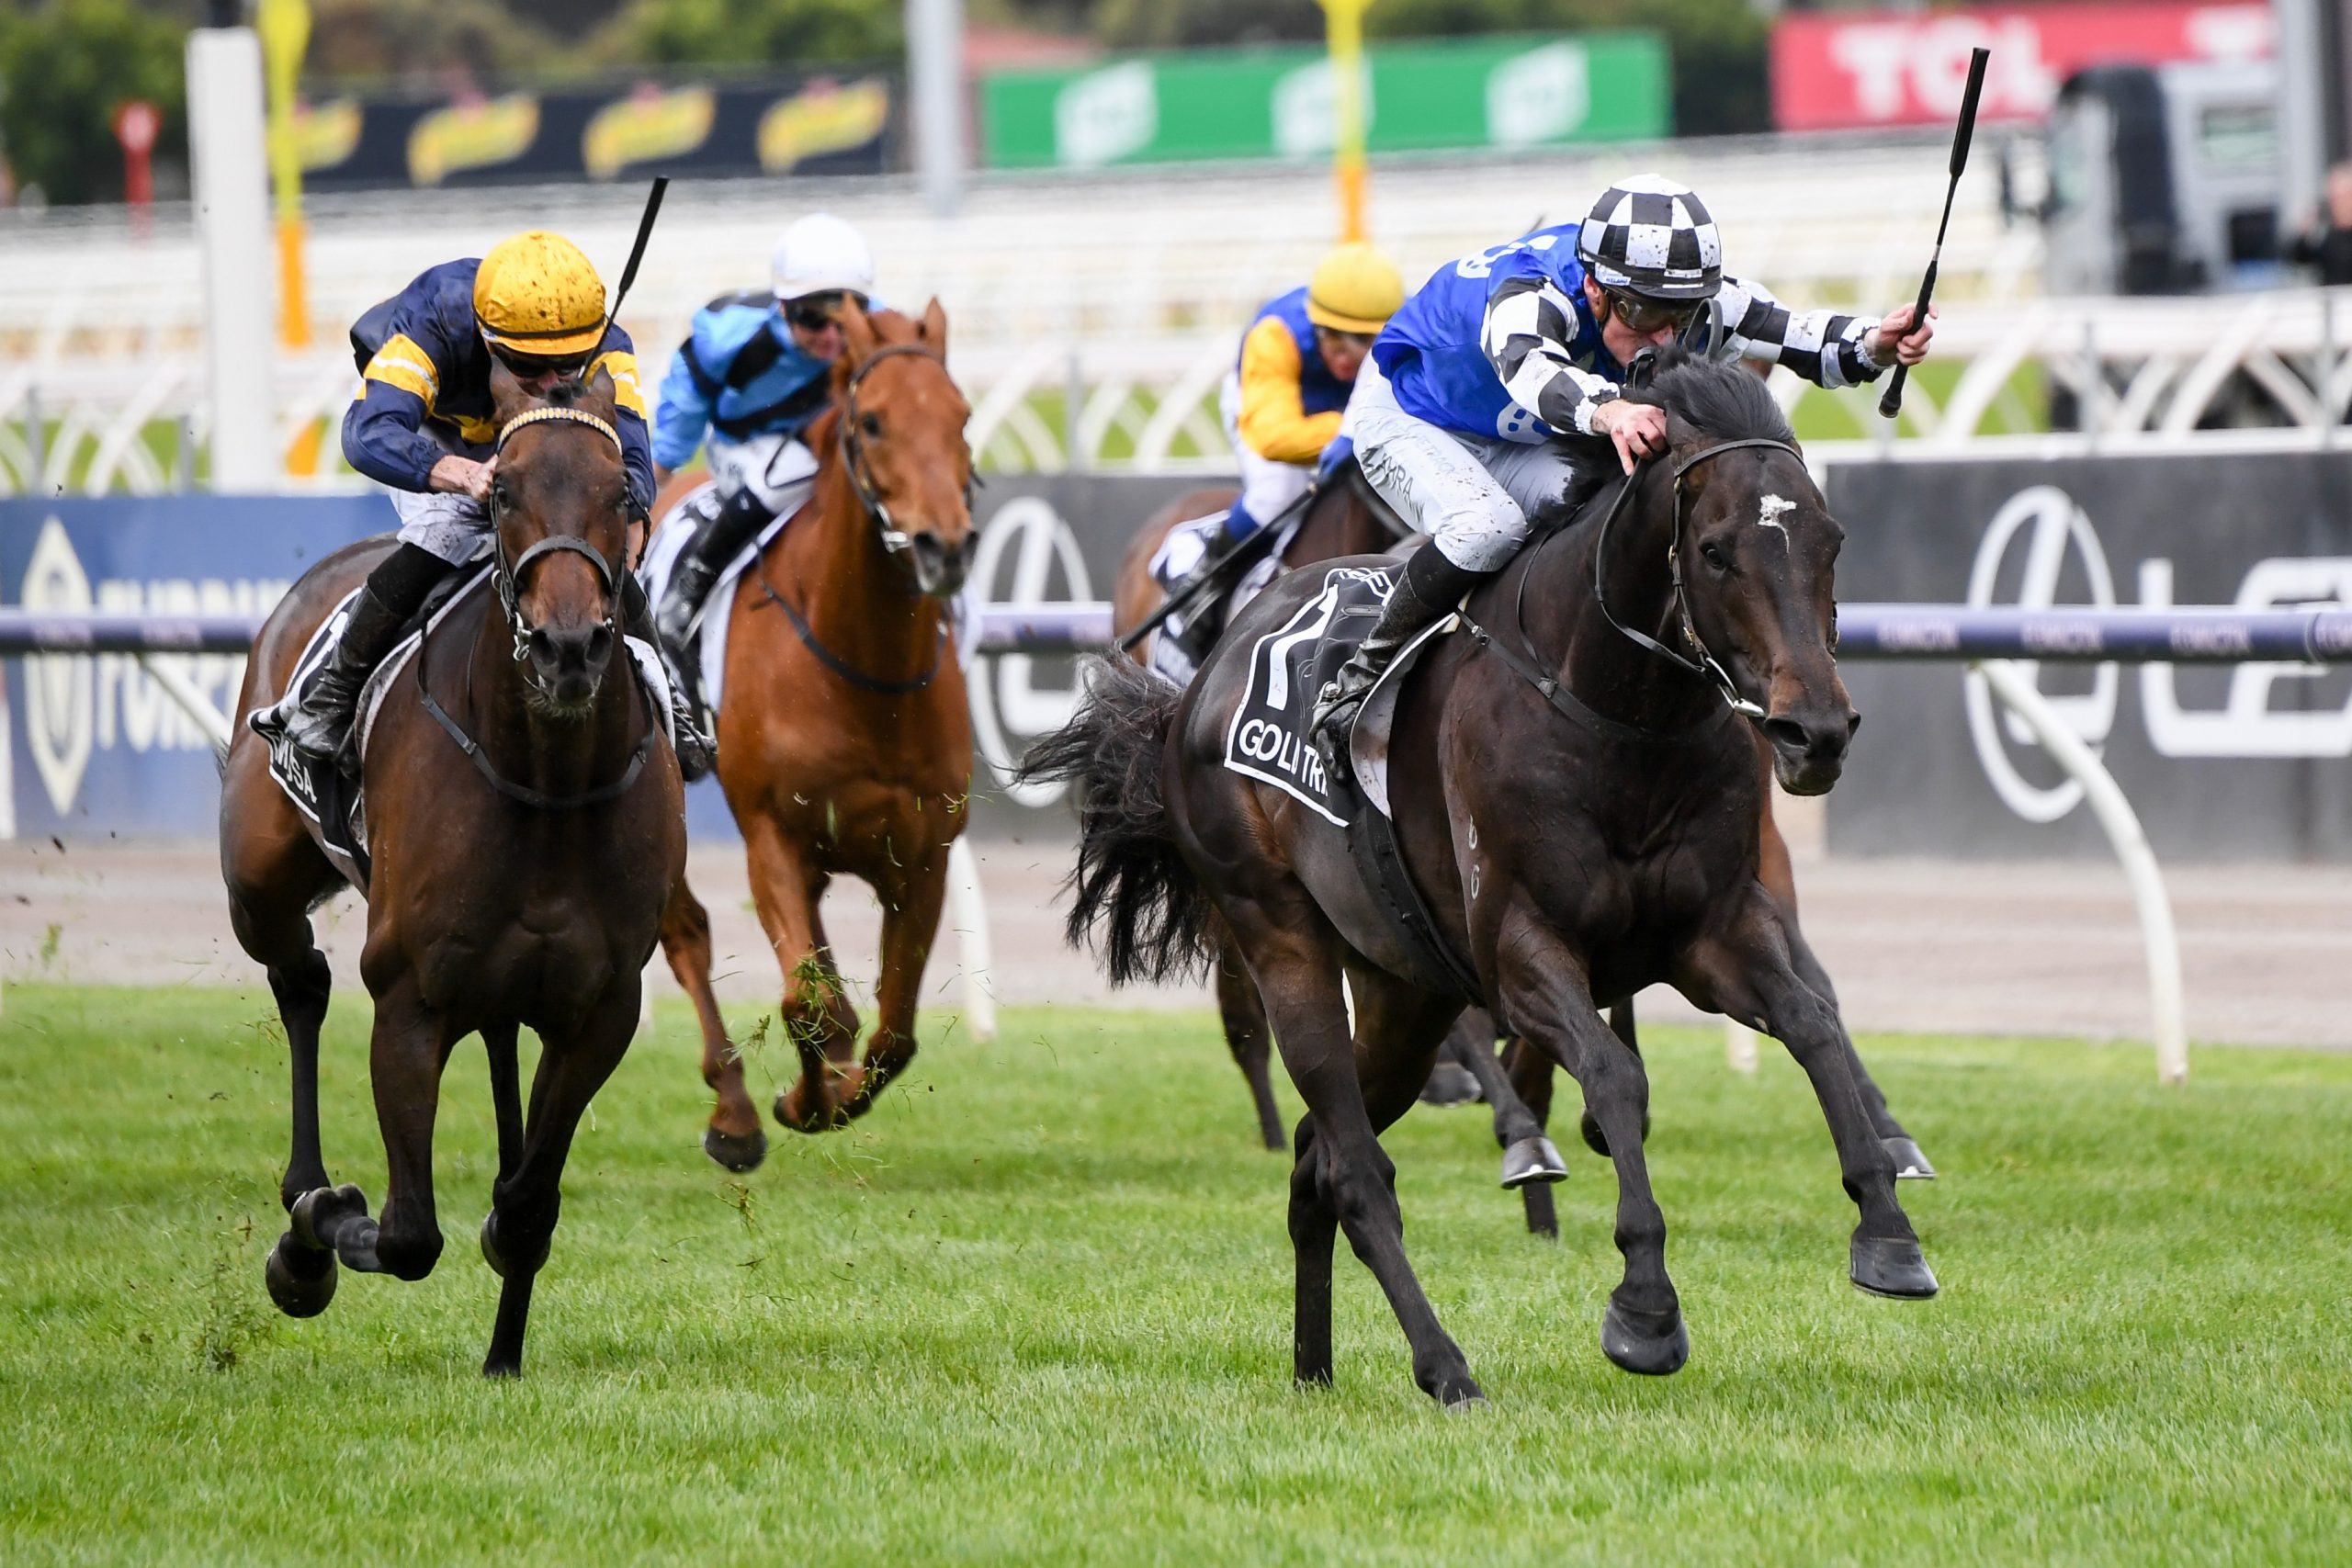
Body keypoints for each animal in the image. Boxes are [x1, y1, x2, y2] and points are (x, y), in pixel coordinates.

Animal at [220, 368, 686, 1372]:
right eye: (502, 491)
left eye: (622, 496)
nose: (567, 647)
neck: (547, 778)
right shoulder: (410, 997)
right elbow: (406, 1233)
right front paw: (316, 1232)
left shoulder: (600, 1005)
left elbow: (526, 1206)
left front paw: (505, 1331)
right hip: (257, 883)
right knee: (300, 980)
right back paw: (304, 1200)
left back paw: (502, 1347)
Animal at [653, 300, 973, 1170]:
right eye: (872, 420)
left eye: (962, 415)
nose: (945, 545)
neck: (865, 673)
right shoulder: (773, 835)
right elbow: (806, 999)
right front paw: (800, 1098)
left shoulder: (923, 854)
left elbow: (894, 1033)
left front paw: (835, 1085)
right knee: (685, 929)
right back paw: (733, 1113)